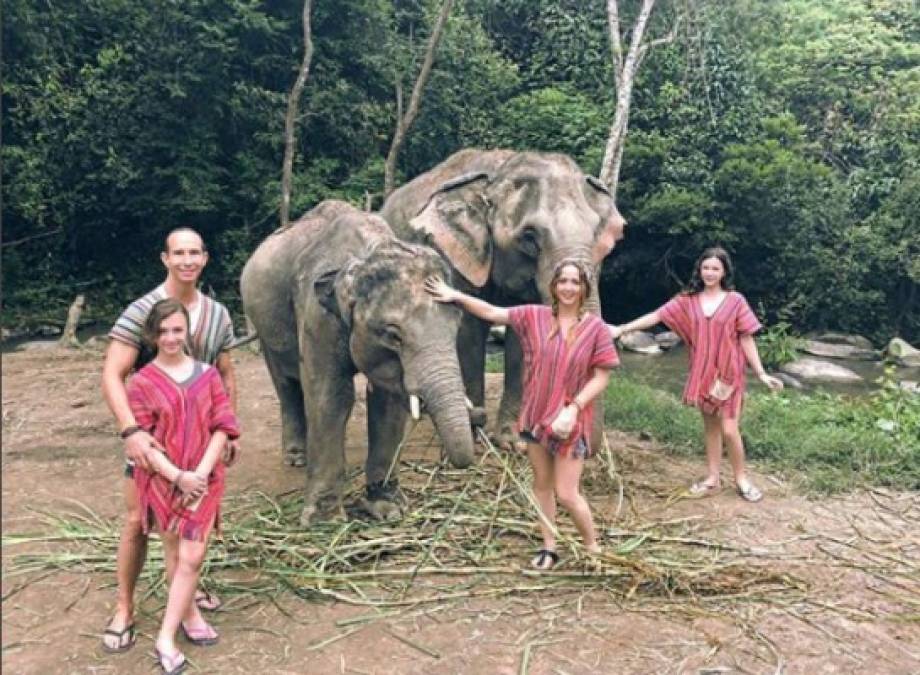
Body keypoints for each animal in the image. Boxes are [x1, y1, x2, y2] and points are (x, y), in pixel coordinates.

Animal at [241, 201, 474, 528]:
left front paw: (387, 509)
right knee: (285, 384)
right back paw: (297, 458)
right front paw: (323, 522)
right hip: (262, 327)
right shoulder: (315, 314)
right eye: (393, 335)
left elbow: (388, 401)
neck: (367, 250)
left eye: (457, 323)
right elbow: (332, 396)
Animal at [380, 151, 624, 448]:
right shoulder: (455, 255)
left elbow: (521, 335)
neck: (502, 167)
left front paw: (512, 443)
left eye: (595, 233)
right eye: (529, 236)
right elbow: (468, 330)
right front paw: (475, 435)